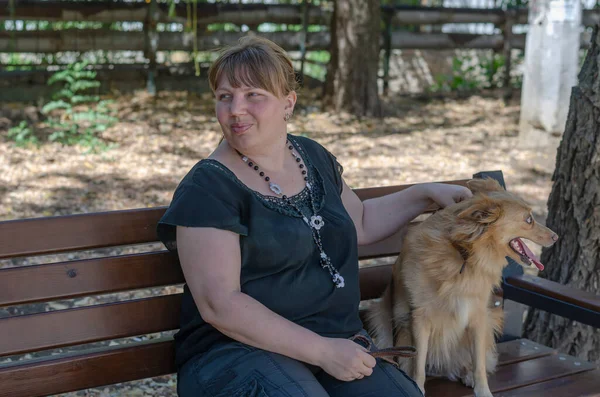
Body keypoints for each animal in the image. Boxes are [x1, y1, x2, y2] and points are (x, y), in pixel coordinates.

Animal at [366, 177, 556, 396]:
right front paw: (417, 387)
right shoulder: (419, 319)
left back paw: (466, 373)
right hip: (381, 316)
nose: (556, 237)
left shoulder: (478, 316)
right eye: (528, 220)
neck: (464, 253)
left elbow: (479, 364)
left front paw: (482, 390)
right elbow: (417, 364)